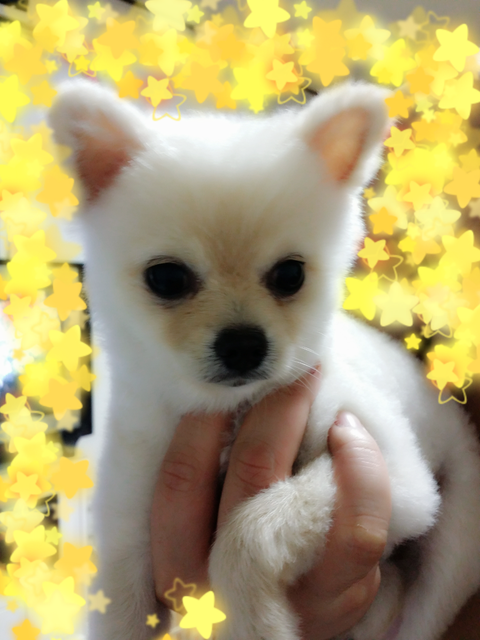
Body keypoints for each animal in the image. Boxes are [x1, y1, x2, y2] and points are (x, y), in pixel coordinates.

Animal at [49, 79, 480, 640]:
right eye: (166, 278)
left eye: (290, 275)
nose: (242, 344)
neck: (232, 413)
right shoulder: (130, 520)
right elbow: (122, 609)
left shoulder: (395, 477)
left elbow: (250, 529)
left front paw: (256, 621)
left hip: (451, 546)